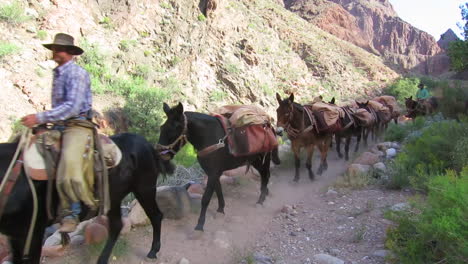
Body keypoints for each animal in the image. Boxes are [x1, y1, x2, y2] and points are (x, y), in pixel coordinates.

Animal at [0, 133, 175, 264]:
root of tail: (149, 146)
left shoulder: (31, 234)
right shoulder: (16, 237)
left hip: (144, 189)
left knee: (155, 215)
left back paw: (153, 251)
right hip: (114, 199)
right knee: (116, 226)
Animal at [157, 103, 280, 231]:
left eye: (174, 129)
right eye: (162, 128)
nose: (160, 155)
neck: (209, 136)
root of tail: (270, 127)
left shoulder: (213, 173)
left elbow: (206, 198)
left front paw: (200, 225)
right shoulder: (212, 172)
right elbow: (218, 190)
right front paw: (221, 209)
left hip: (262, 160)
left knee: (265, 175)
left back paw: (260, 200)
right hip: (255, 161)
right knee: (265, 175)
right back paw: (264, 194)